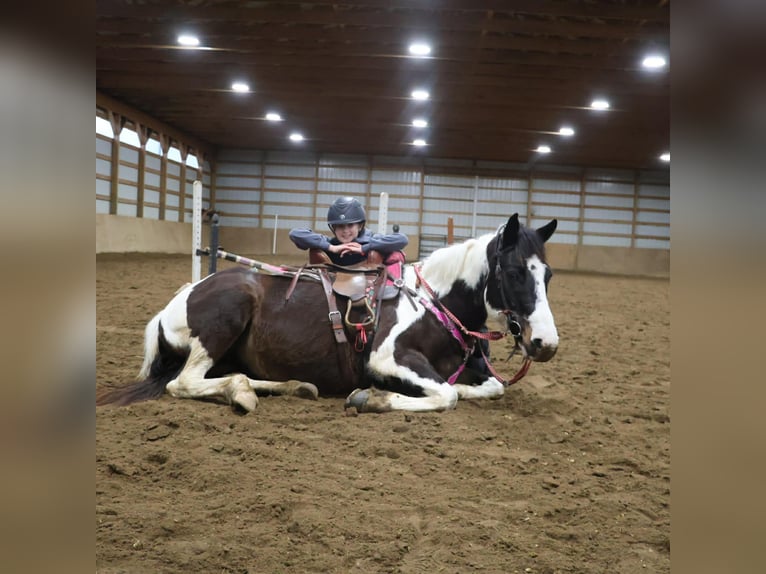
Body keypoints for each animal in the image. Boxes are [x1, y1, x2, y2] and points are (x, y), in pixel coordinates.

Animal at [97, 213, 559, 414]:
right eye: (515, 272)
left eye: (549, 274)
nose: (545, 344)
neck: (434, 305)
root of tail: (175, 302)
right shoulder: (387, 359)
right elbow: (446, 395)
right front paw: (373, 397)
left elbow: (487, 387)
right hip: (224, 320)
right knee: (184, 383)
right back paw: (242, 394)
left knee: (234, 375)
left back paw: (293, 386)